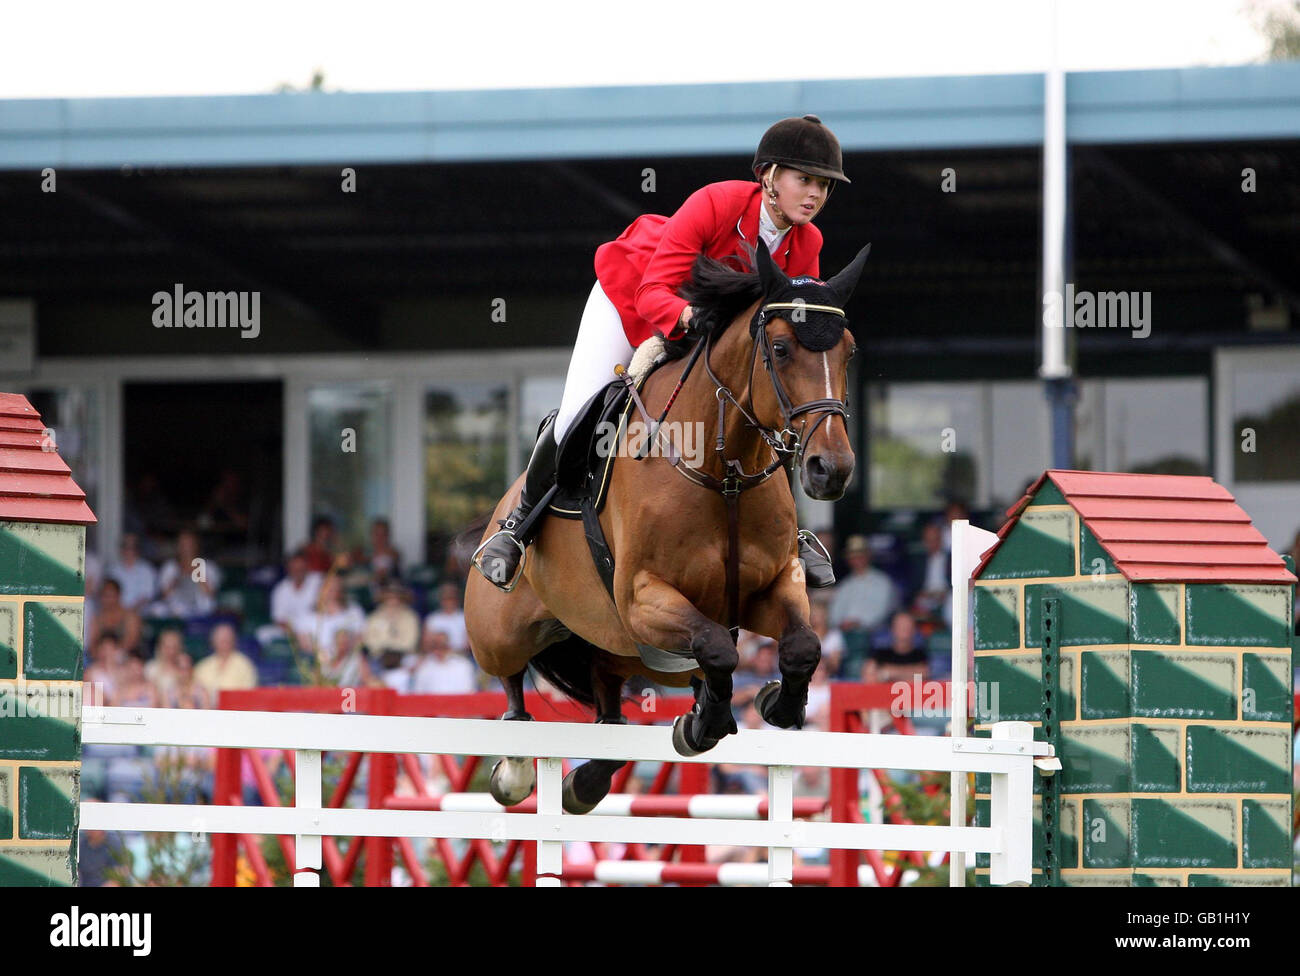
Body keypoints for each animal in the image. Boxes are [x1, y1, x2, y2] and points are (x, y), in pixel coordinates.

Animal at [462, 240, 868, 810]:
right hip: (503, 631)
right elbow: (717, 646)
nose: (830, 470)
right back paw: (517, 764)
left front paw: (773, 705)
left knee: (609, 711)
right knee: (512, 682)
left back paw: (585, 782)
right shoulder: (643, 597)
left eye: (847, 352)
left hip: (620, 651)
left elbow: (800, 645)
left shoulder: (769, 586)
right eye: (781, 348)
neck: (724, 473)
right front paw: (705, 723)